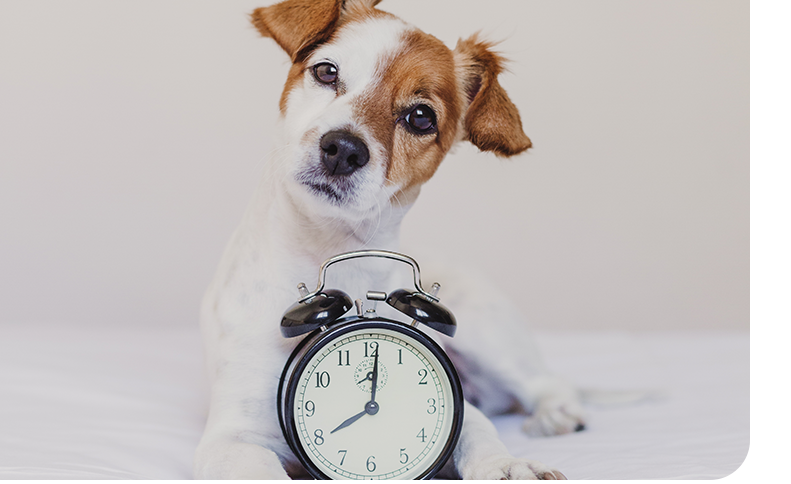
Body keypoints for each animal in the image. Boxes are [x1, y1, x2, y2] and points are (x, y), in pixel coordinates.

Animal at [195, 0, 584, 476]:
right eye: (327, 71)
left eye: (420, 117)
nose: (343, 149)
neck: (334, 248)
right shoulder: (232, 437)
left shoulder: (466, 409)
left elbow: (477, 431)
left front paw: (507, 465)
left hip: (485, 331)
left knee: (547, 382)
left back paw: (556, 414)